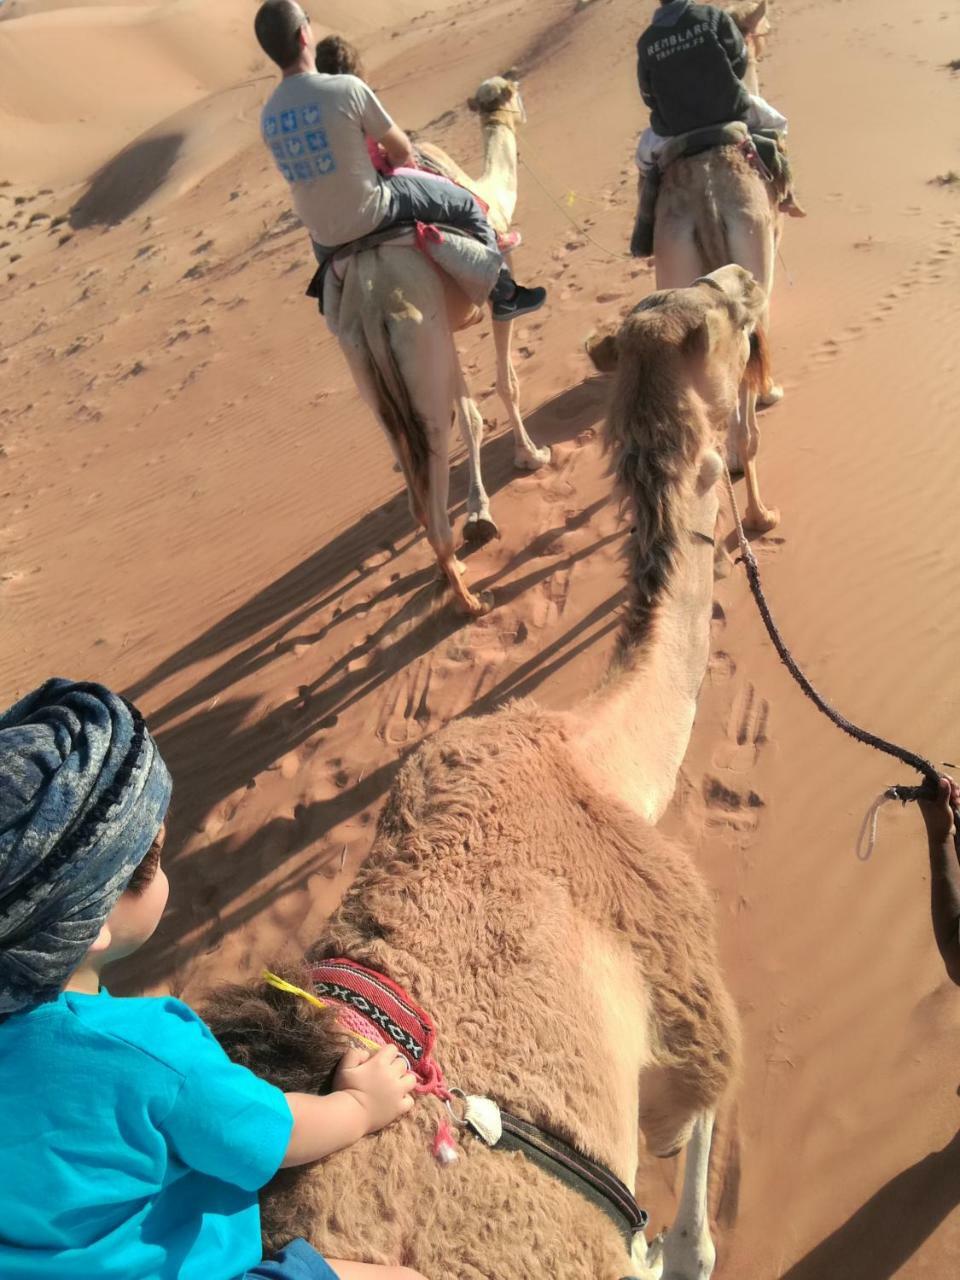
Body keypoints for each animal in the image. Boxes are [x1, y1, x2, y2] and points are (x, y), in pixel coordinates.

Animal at [337, 76, 547, 619]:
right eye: (514, 90)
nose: (522, 109)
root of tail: (371, 303)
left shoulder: (449, 330)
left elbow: (471, 407)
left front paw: (481, 504)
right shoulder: (496, 297)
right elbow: (504, 384)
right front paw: (531, 457)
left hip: (370, 371)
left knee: (413, 480)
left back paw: (453, 569)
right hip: (419, 348)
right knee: (433, 468)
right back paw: (468, 596)